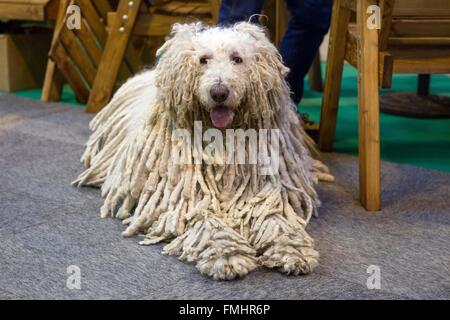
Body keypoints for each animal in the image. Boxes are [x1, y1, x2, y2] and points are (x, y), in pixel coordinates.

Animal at [74, 21, 334, 280]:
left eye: (237, 59)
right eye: (203, 60)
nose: (219, 92)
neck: (223, 141)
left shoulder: (261, 194)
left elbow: (274, 220)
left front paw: (293, 251)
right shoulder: (190, 200)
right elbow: (210, 223)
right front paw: (228, 255)